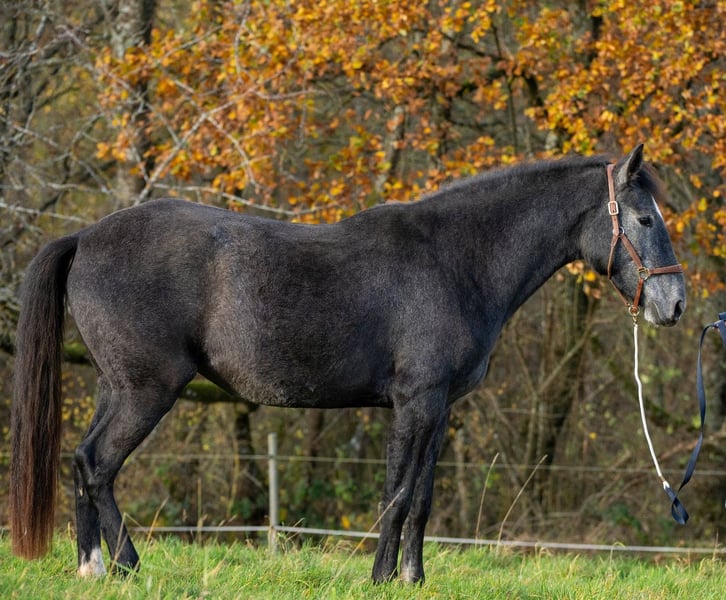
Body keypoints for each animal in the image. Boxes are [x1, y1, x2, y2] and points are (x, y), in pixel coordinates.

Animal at [10, 144, 685, 583]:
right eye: (644, 218)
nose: (674, 303)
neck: (455, 259)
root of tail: (86, 237)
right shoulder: (415, 401)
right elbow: (398, 493)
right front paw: (382, 579)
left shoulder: (438, 409)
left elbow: (422, 499)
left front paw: (412, 579)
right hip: (146, 391)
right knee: (98, 464)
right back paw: (125, 566)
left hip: (115, 387)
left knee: (82, 462)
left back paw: (92, 567)